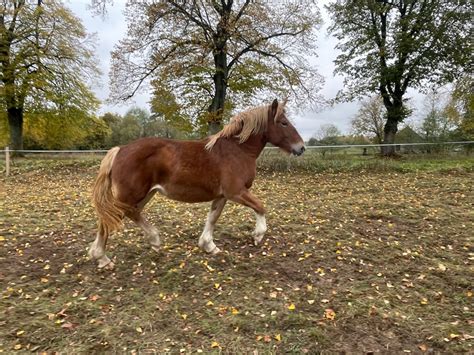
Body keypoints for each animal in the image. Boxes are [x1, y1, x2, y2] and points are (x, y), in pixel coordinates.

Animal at [89, 98, 304, 268]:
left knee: (131, 214)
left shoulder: (222, 195)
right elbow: (260, 206)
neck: (238, 150)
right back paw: (103, 258)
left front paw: (209, 246)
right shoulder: (236, 192)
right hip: (130, 195)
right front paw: (258, 235)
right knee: (109, 220)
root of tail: (120, 150)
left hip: (144, 194)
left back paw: (154, 242)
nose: (301, 148)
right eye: (283, 123)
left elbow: (213, 218)